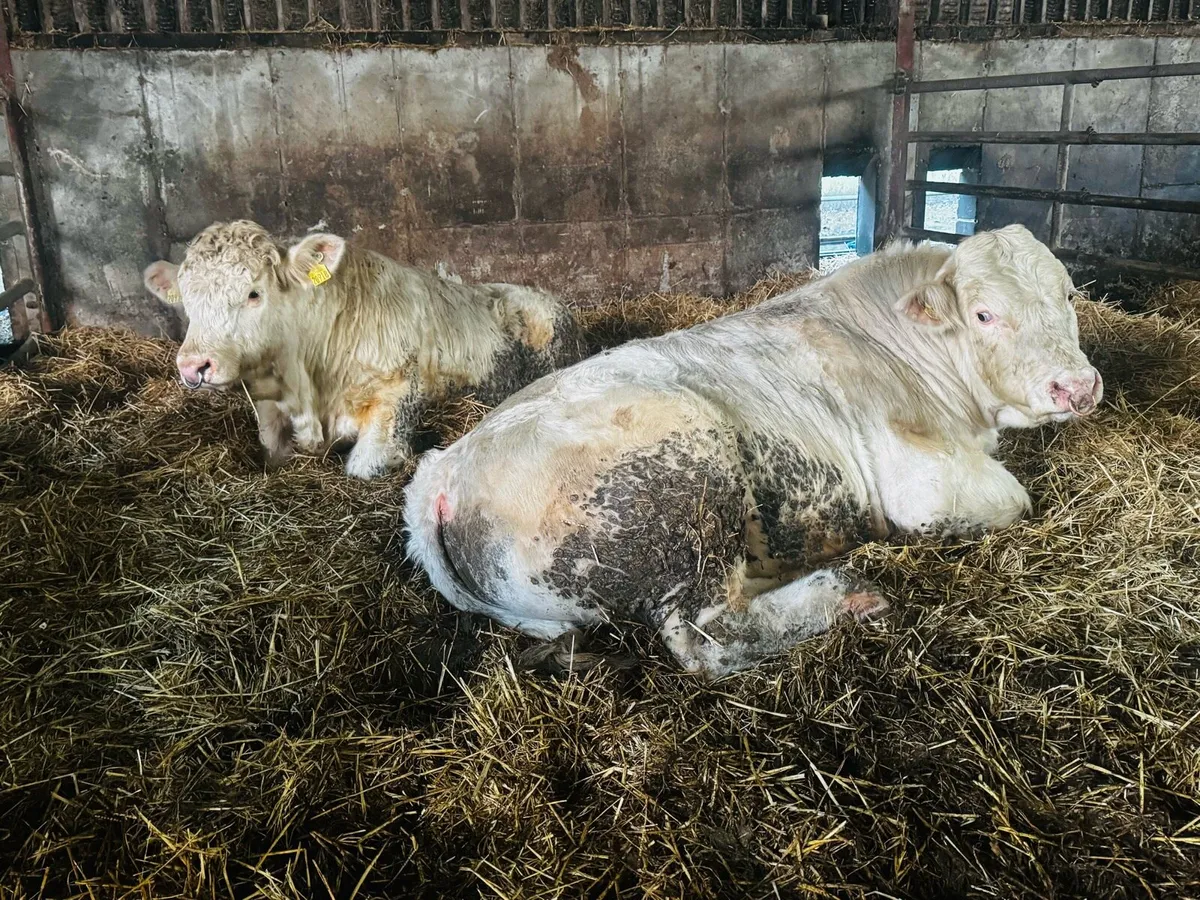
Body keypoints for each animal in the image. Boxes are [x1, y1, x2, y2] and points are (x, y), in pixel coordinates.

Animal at [142, 220, 584, 478]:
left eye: (253, 293)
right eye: (187, 299)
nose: (194, 366)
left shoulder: (397, 397)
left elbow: (362, 465)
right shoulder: (268, 409)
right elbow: (271, 452)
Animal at [403, 225, 1103, 678]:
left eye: (1069, 295)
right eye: (984, 314)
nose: (1076, 386)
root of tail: (440, 475)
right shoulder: (924, 486)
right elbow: (1017, 497)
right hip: (684, 493)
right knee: (705, 637)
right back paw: (843, 595)